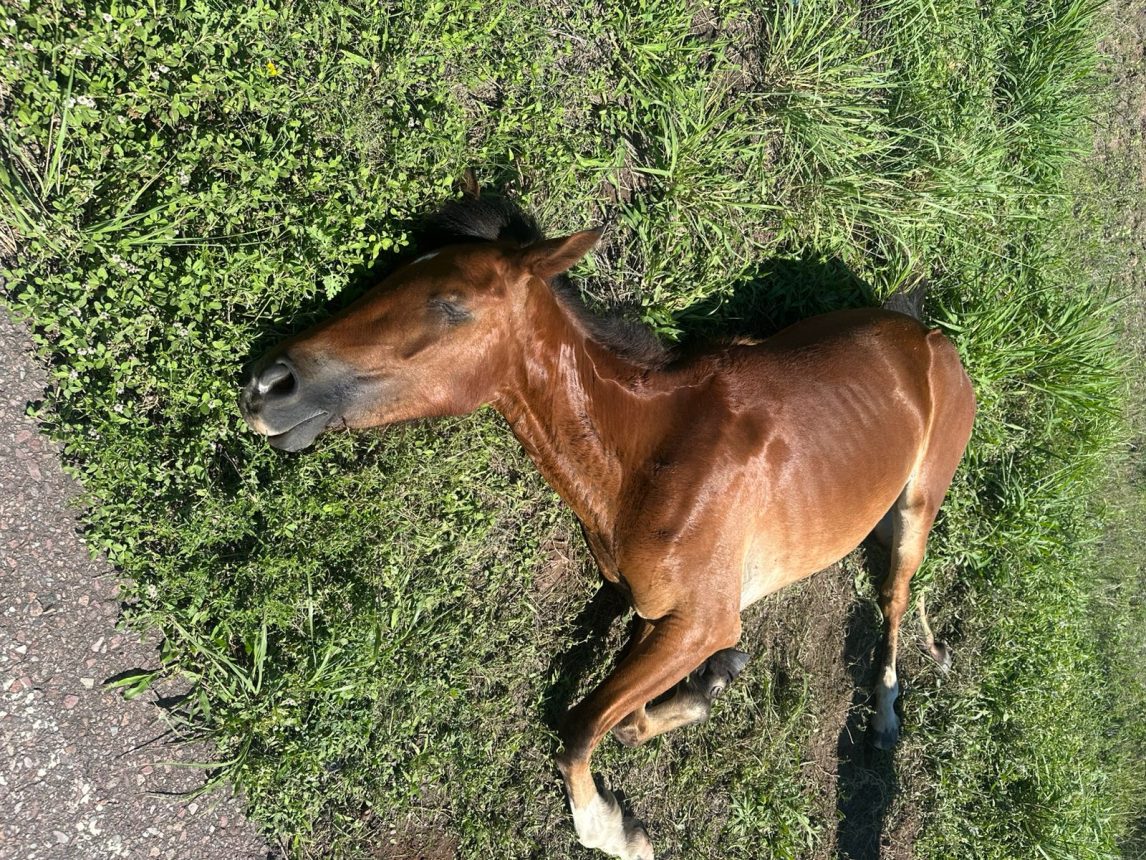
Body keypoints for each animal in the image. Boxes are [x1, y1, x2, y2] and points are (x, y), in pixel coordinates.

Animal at [238, 186, 976, 860]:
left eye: (450, 304)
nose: (267, 384)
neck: (651, 456)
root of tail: (927, 337)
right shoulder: (653, 609)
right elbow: (622, 718)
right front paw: (711, 682)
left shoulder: (700, 619)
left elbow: (582, 725)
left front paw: (612, 828)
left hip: (917, 510)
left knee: (895, 596)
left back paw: (886, 709)